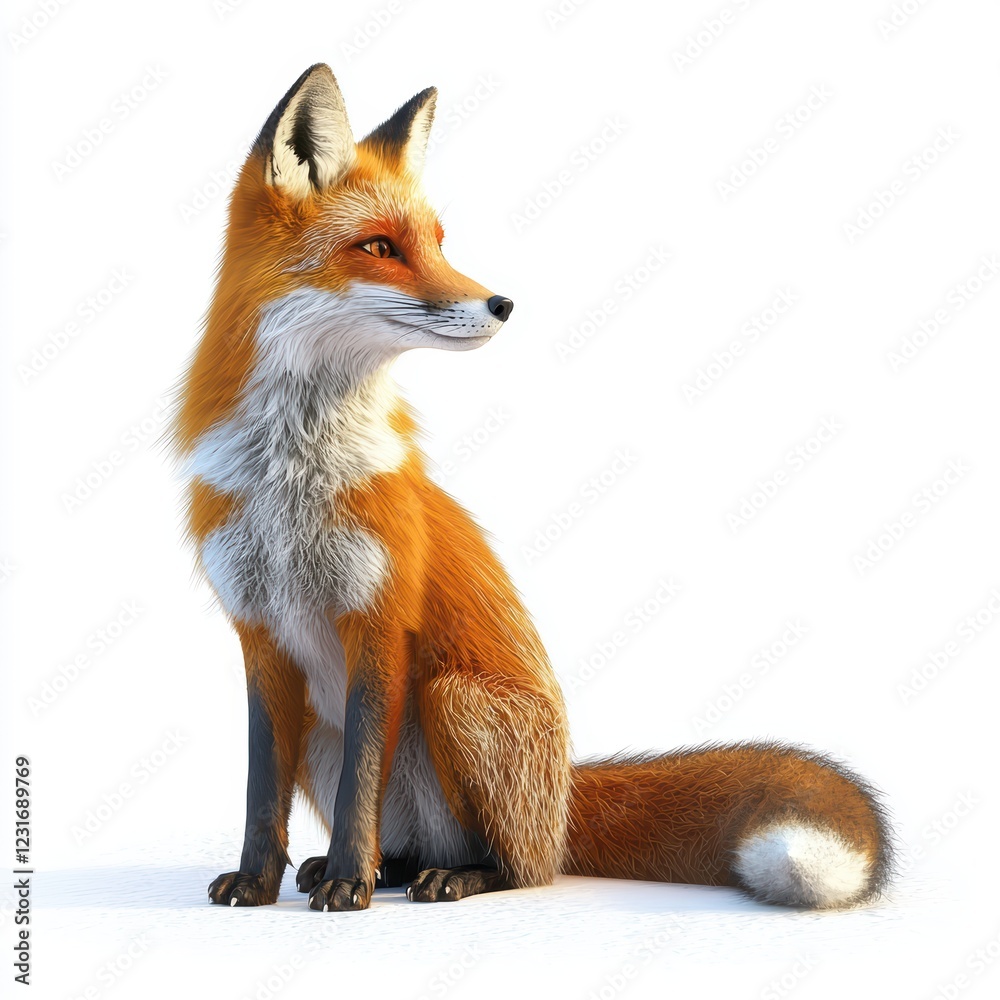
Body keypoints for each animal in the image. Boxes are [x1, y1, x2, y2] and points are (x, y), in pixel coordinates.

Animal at [173, 64, 893, 912]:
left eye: (439, 243)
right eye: (379, 247)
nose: (502, 303)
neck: (292, 476)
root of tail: (563, 799)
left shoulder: (381, 621)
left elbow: (360, 789)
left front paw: (348, 883)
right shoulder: (260, 635)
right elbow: (262, 791)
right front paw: (261, 882)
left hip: (452, 698)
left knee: (520, 865)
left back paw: (447, 875)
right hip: (327, 724)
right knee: (414, 840)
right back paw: (390, 867)